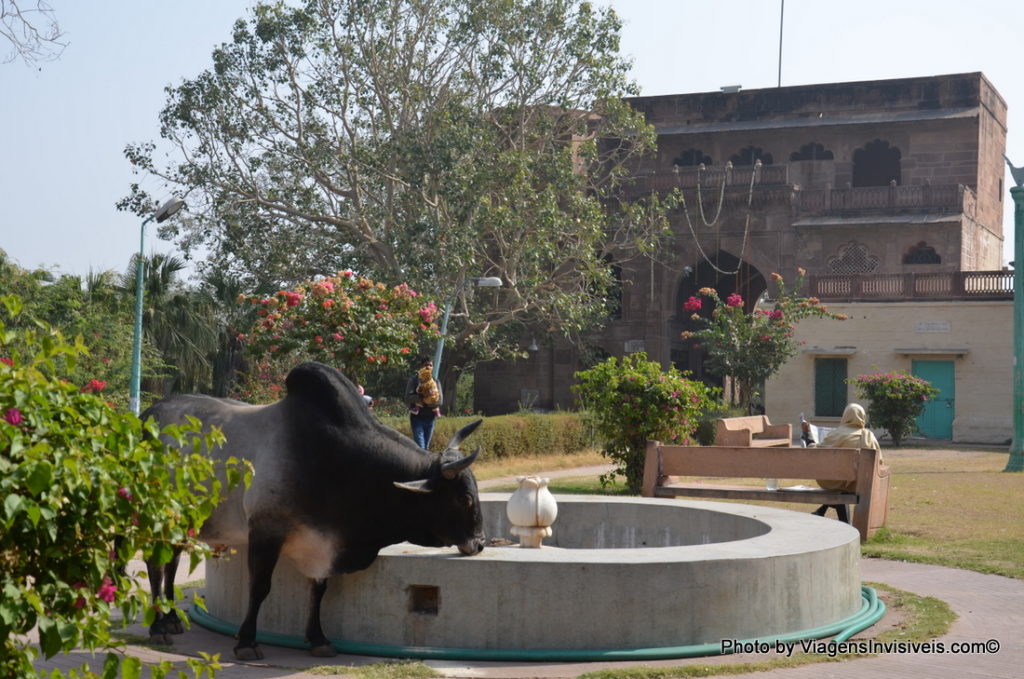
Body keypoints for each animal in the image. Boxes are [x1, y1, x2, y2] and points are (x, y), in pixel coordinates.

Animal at [141, 364, 487, 659]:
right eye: (465, 499)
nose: (481, 543)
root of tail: (147, 415)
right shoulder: (265, 532)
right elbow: (260, 587)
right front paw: (247, 642)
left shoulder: (323, 543)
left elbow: (319, 589)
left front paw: (318, 639)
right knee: (154, 564)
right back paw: (158, 627)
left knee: (171, 562)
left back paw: (171, 619)